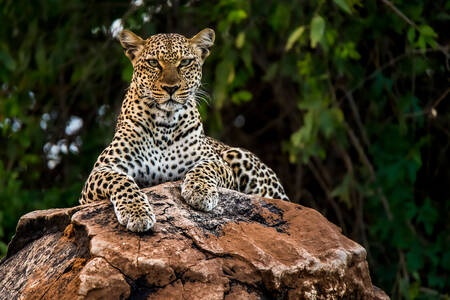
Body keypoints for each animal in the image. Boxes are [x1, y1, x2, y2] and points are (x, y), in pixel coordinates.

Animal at [79, 28, 288, 232]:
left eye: (185, 62)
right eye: (153, 63)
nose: (171, 88)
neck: (164, 125)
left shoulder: (217, 162)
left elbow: (204, 168)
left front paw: (200, 191)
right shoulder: (101, 172)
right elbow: (121, 181)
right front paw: (137, 212)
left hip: (238, 155)